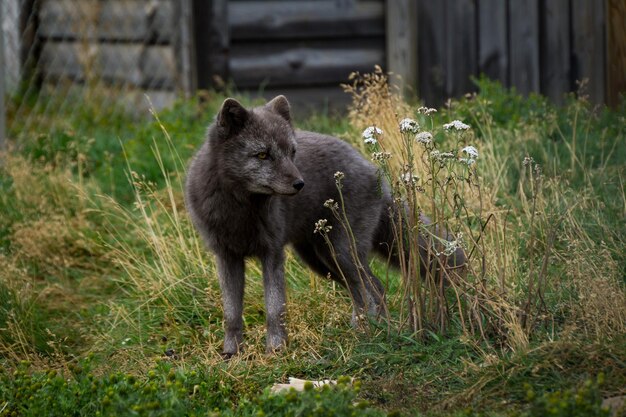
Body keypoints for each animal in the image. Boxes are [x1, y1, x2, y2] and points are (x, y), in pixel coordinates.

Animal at [185, 95, 464, 354]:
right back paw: (367, 329)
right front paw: (232, 353)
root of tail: (374, 170)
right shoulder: (226, 256)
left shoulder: (272, 253)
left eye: (292, 153)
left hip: (341, 254)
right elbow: (231, 313)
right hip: (321, 260)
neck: (240, 208)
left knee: (373, 288)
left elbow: (275, 308)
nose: (300, 184)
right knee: (365, 291)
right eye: (263, 154)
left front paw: (276, 350)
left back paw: (372, 333)